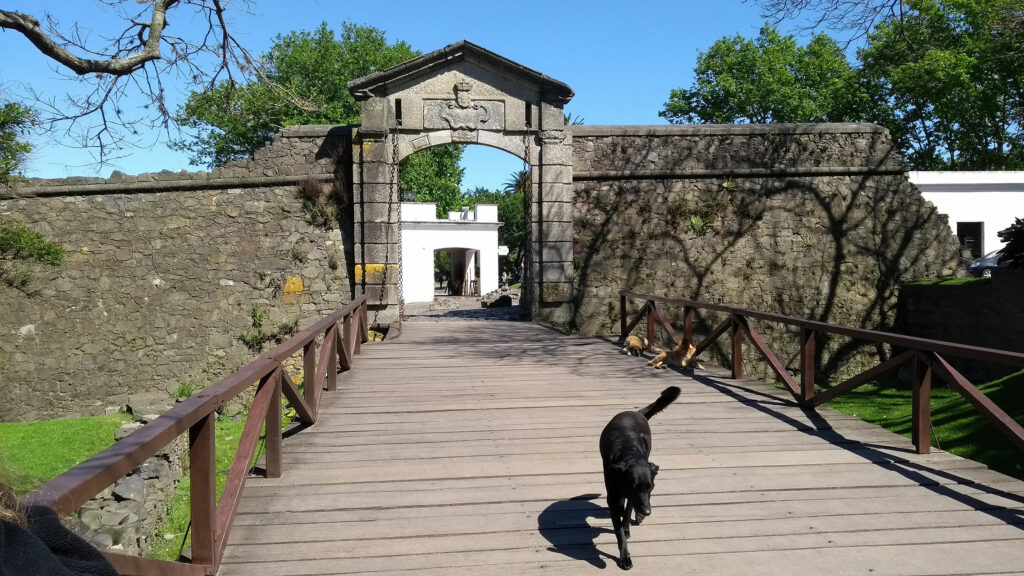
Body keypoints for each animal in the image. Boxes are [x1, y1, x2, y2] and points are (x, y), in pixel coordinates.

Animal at [598, 383, 679, 565]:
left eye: (651, 488)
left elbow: (627, 513)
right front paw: (625, 557)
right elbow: (619, 530)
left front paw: (627, 527)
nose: (647, 512)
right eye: (635, 488)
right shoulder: (615, 497)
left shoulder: (632, 497)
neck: (628, 452)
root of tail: (636, 412)